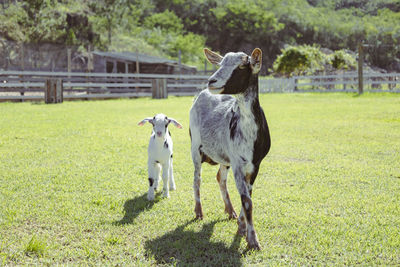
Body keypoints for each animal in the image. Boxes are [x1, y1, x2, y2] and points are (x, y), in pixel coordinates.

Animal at [188, 48, 270, 251]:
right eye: (220, 64)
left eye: (241, 66)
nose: (212, 81)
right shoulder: (237, 163)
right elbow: (247, 200)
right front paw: (253, 240)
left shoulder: (254, 164)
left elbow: (248, 196)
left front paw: (242, 227)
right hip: (195, 147)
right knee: (197, 179)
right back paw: (199, 211)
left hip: (224, 157)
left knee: (220, 177)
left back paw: (230, 210)